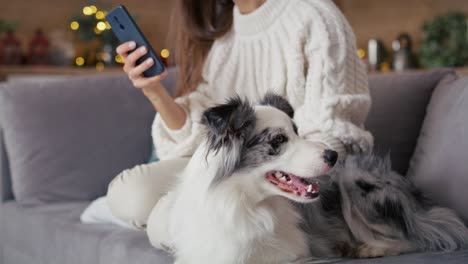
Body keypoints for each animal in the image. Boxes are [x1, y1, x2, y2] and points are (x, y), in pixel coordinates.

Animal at [165, 94, 468, 262]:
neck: (247, 205)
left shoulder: (293, 253)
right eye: (278, 140)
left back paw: (369, 249)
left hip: (355, 182)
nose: (333, 156)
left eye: (297, 131)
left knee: (418, 236)